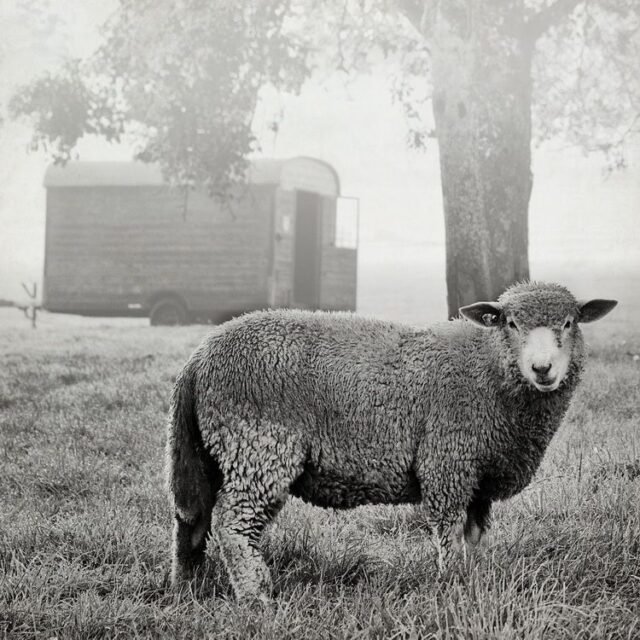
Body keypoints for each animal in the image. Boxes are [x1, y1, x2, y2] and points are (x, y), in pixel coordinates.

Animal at [166, 281, 617, 601]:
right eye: (511, 323)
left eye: (569, 323)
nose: (543, 369)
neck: (489, 369)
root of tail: (199, 358)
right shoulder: (447, 463)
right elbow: (449, 533)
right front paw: (453, 586)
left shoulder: (477, 478)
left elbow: (475, 536)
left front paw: (477, 580)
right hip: (258, 446)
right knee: (231, 524)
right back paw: (256, 595)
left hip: (211, 453)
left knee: (191, 519)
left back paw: (189, 587)